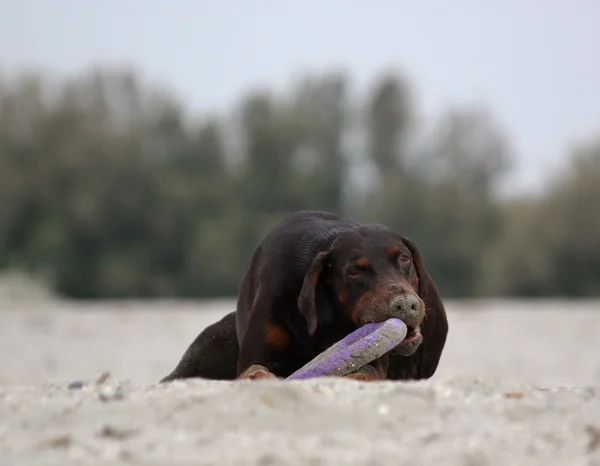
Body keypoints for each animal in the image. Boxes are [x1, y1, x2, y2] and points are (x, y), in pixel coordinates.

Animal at [162, 210, 448, 382]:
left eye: (404, 258)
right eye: (355, 270)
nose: (405, 305)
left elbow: (366, 371)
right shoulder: (257, 349)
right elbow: (254, 367)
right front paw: (258, 377)